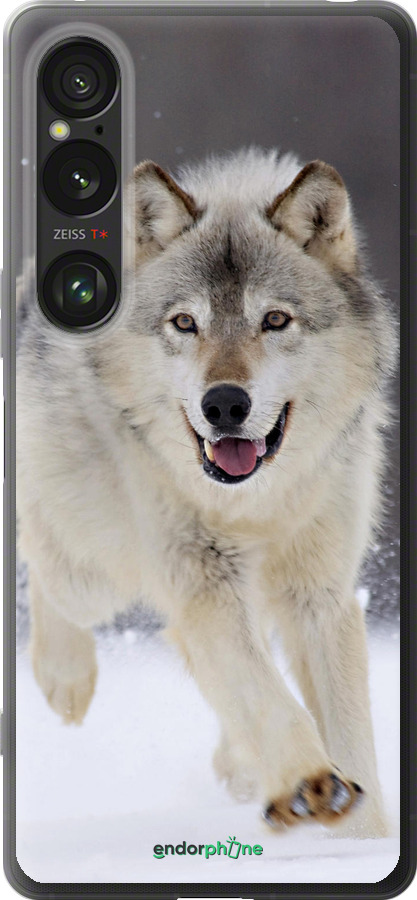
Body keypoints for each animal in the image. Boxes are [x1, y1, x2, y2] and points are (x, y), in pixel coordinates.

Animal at [17, 148, 396, 837]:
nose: (223, 404)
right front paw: (309, 783)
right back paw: (66, 678)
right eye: (185, 323)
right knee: (42, 557)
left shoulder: (319, 593)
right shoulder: (203, 579)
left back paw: (241, 766)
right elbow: (266, 695)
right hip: (95, 572)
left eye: (274, 320)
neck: (256, 503)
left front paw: (363, 838)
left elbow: (350, 733)